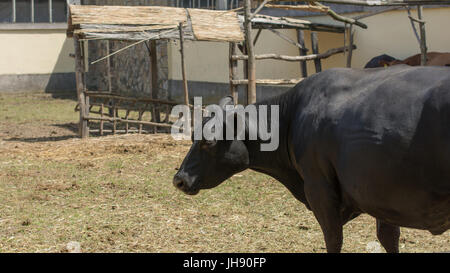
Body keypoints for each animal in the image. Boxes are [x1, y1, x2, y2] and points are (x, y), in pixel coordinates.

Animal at [173, 65, 450, 252]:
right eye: (193, 135)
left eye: (208, 141)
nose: (179, 179)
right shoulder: (380, 197)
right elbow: (388, 237)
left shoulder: (320, 190)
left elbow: (334, 239)